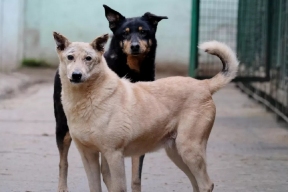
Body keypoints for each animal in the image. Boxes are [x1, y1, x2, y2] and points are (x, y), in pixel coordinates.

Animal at [53, 4, 169, 192]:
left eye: (144, 32)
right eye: (124, 33)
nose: (135, 46)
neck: (132, 71)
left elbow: (135, 177)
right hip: (62, 127)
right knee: (63, 162)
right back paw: (62, 187)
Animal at [53, 31, 238, 192]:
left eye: (88, 58)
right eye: (70, 57)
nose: (76, 75)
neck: (88, 98)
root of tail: (204, 84)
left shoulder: (114, 155)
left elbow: (119, 187)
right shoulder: (88, 155)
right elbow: (94, 187)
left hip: (189, 150)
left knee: (206, 184)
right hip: (177, 153)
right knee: (196, 184)